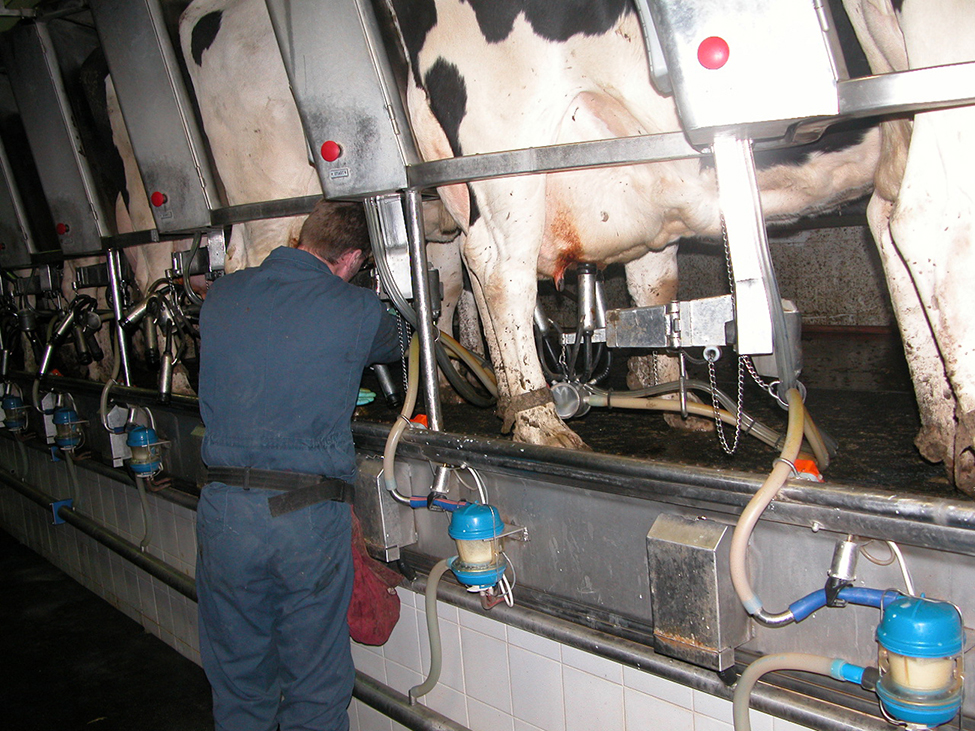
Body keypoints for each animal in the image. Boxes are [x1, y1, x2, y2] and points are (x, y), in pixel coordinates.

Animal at [386, 0, 880, 452]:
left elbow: (657, 295)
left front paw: (671, 398)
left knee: (476, 276)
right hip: (508, 160)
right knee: (500, 278)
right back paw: (541, 424)